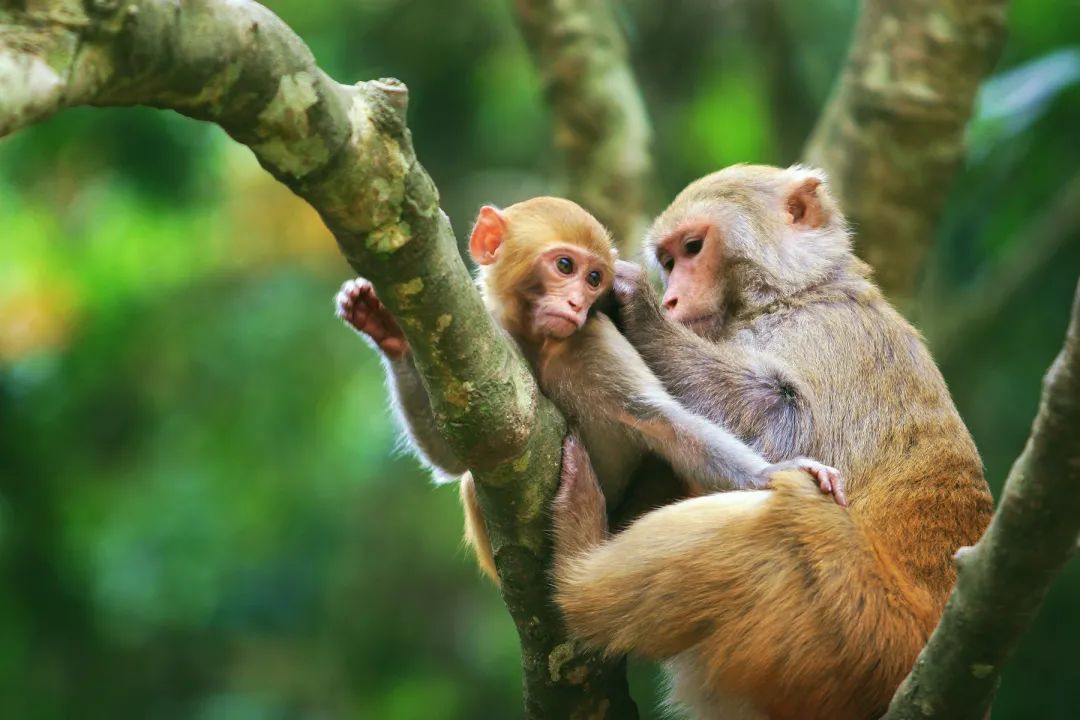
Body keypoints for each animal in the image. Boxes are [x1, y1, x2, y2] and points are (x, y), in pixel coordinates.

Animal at [336, 195, 842, 578]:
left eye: (594, 278)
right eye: (565, 266)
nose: (578, 302)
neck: (540, 345)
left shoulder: (593, 340)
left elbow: (660, 421)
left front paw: (773, 473)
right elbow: (454, 460)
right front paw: (386, 331)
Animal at [552, 162, 989, 720]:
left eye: (693, 248)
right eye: (669, 260)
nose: (670, 298)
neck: (789, 295)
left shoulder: (827, 334)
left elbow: (786, 428)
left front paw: (636, 309)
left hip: (855, 633)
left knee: (787, 510)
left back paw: (576, 574)